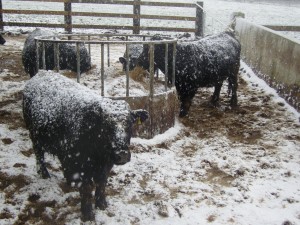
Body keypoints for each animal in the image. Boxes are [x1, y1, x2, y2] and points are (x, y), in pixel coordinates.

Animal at [22, 71, 149, 221]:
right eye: (106, 125)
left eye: (130, 124)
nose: (122, 154)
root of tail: (41, 72)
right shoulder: (79, 163)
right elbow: (86, 188)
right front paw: (87, 214)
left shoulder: (106, 163)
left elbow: (101, 183)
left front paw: (102, 204)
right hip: (35, 136)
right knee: (39, 155)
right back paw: (44, 174)